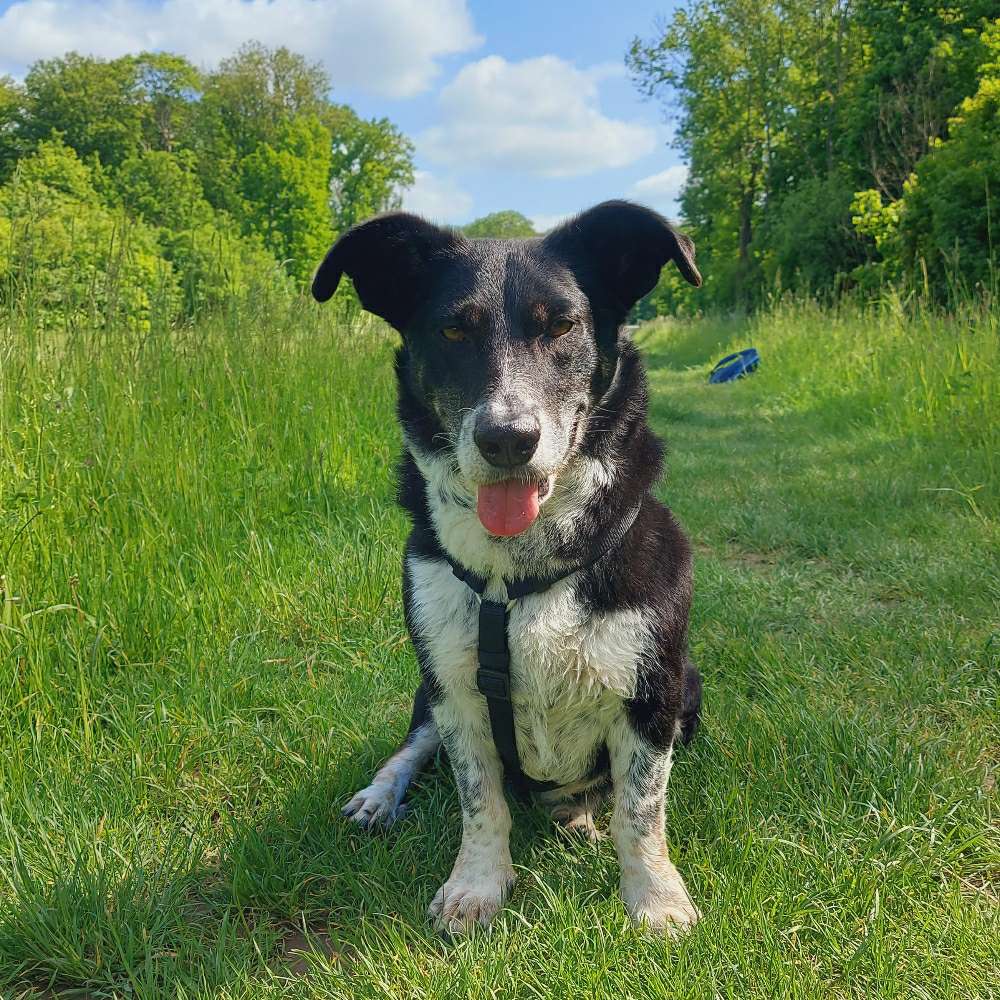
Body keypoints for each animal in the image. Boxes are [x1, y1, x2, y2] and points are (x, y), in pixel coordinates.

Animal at [312, 201, 704, 936]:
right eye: (452, 328)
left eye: (563, 325)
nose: (507, 439)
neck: (518, 574)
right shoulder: (456, 690)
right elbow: (479, 798)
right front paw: (476, 885)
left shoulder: (651, 693)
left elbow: (641, 809)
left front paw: (655, 895)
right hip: (426, 690)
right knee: (411, 748)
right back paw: (379, 796)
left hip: (690, 686)